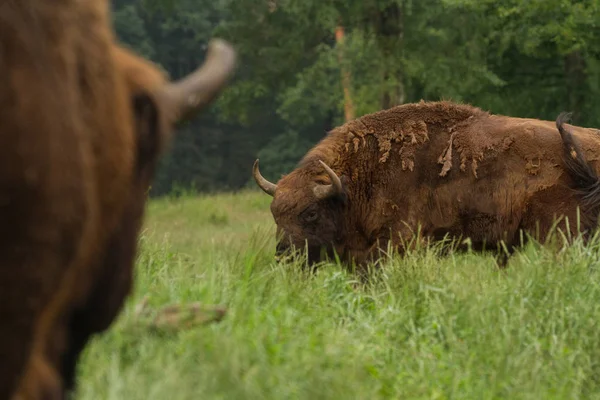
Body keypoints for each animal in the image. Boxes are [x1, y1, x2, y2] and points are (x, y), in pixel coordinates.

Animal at [252, 100, 600, 270]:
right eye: (275, 214)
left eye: (310, 212)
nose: (284, 255)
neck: (354, 183)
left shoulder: (395, 242)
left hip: (559, 234)